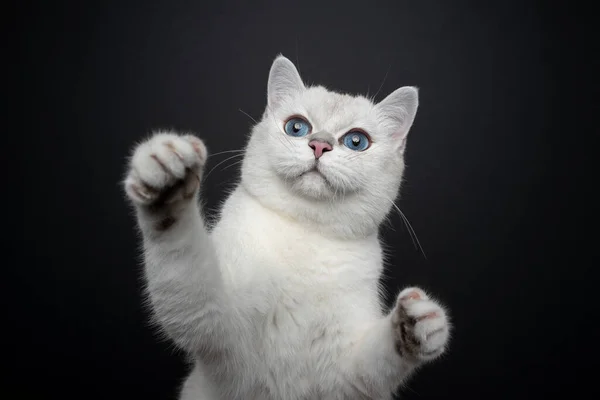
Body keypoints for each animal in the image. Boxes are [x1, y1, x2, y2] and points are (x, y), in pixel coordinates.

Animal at [123, 54, 450, 398]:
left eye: (356, 141)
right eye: (297, 127)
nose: (319, 145)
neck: (304, 234)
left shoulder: (345, 377)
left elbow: (373, 364)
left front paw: (421, 324)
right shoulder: (216, 321)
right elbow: (182, 255)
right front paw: (166, 175)